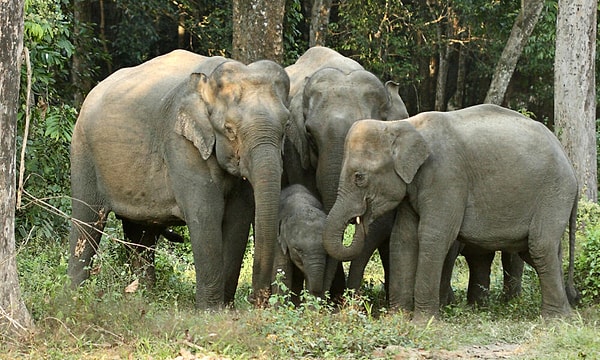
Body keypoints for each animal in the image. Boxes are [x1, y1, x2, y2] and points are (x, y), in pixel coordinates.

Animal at [67, 48, 288, 310]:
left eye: (286, 125)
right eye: (229, 129)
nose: (258, 301)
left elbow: (239, 217)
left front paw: (226, 308)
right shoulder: (180, 144)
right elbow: (206, 213)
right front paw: (210, 311)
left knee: (140, 232)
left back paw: (144, 296)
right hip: (83, 151)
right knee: (87, 220)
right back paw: (73, 295)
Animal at [324, 104, 580, 320]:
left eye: (359, 177)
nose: (359, 219)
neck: (404, 125)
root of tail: (568, 161)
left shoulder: (446, 177)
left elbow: (433, 236)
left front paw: (423, 322)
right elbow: (404, 238)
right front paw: (397, 319)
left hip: (555, 191)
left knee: (540, 245)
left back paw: (556, 319)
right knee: (538, 250)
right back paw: (566, 311)